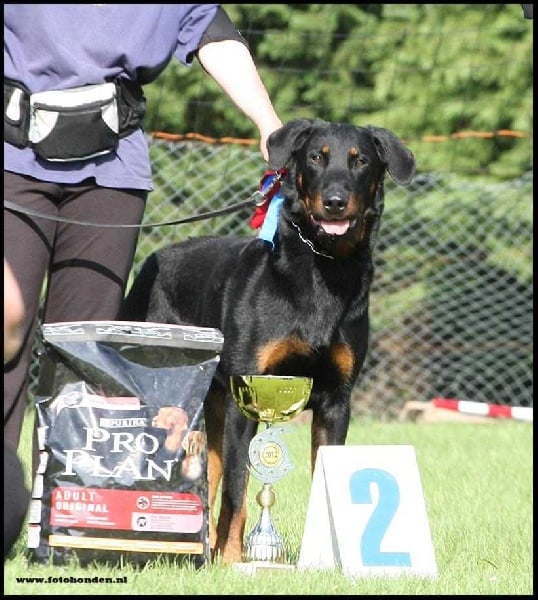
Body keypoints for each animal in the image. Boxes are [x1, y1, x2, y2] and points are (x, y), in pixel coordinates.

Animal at [120, 117, 414, 564]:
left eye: (360, 161)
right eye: (316, 157)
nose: (335, 202)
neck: (324, 268)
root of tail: (154, 259)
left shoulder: (336, 400)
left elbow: (320, 478)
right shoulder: (248, 394)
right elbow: (239, 489)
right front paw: (232, 560)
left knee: (208, 469)